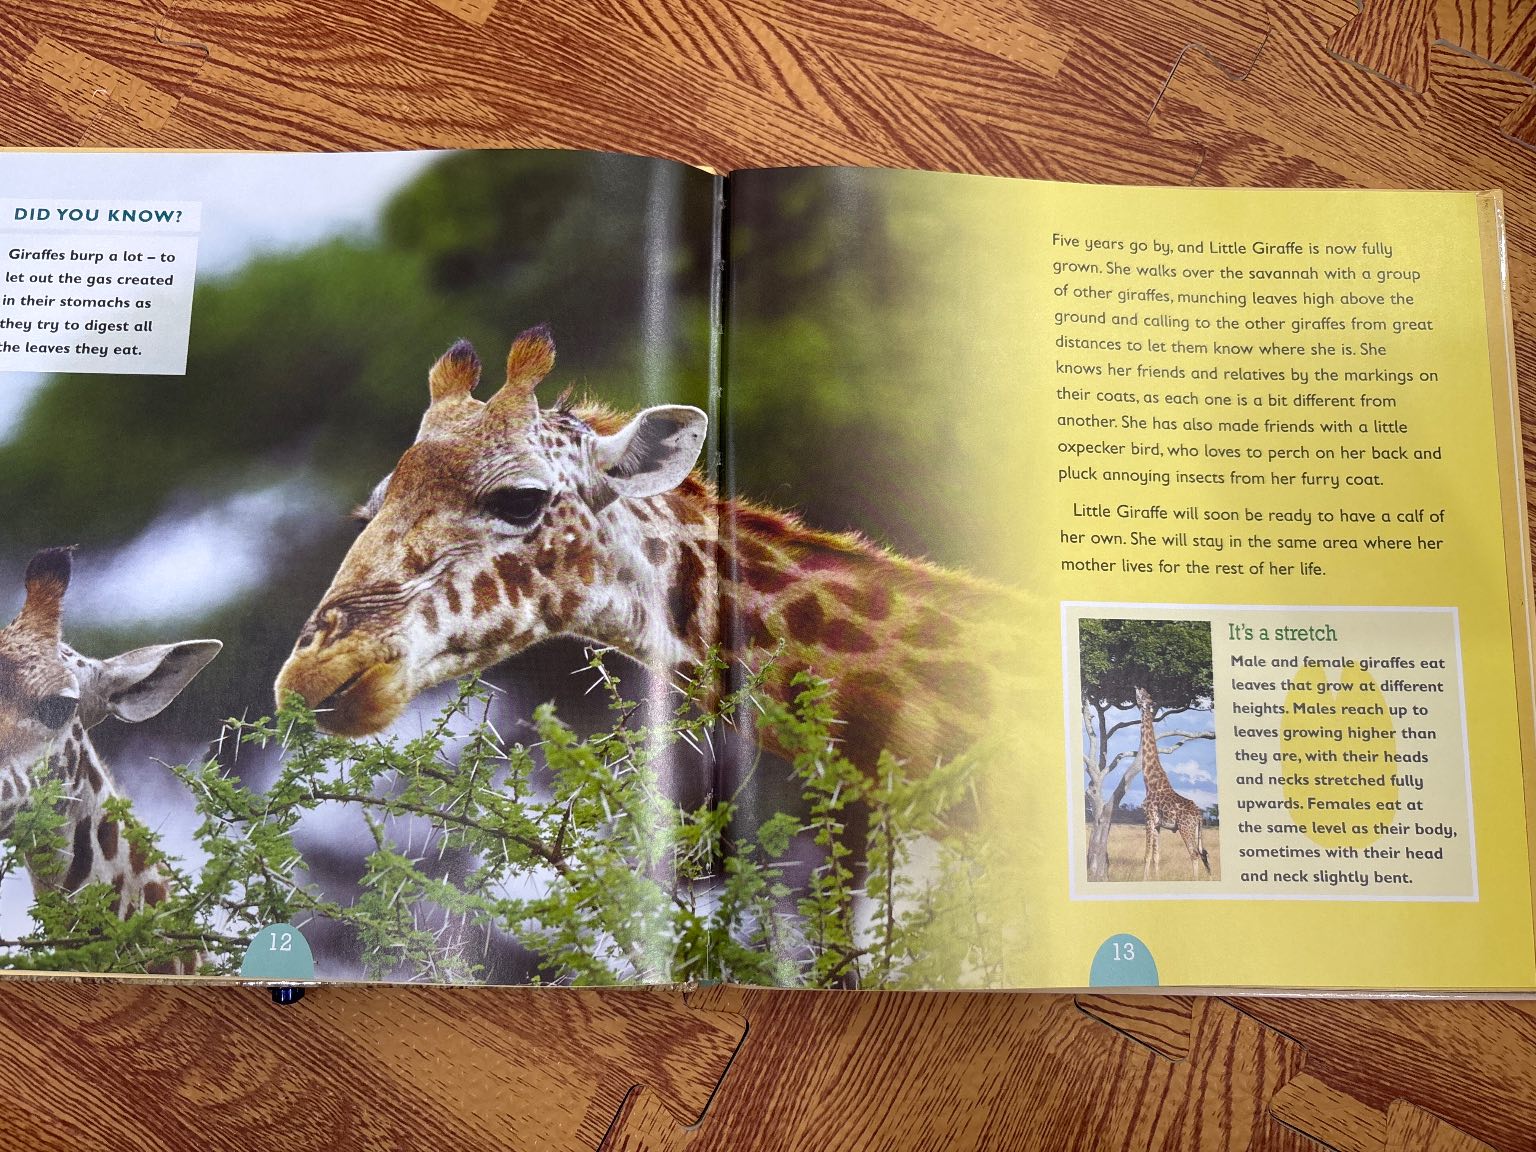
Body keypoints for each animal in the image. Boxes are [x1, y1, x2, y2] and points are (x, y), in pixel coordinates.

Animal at [1133, 685, 1210, 880]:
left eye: (1143, 695)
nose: (1138, 686)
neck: (1150, 782)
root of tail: (1199, 815)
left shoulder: (1148, 818)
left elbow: (1146, 856)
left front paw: (1144, 880)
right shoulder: (1158, 824)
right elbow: (1156, 856)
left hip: (1185, 828)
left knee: (1194, 854)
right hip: (1196, 831)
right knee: (1204, 854)